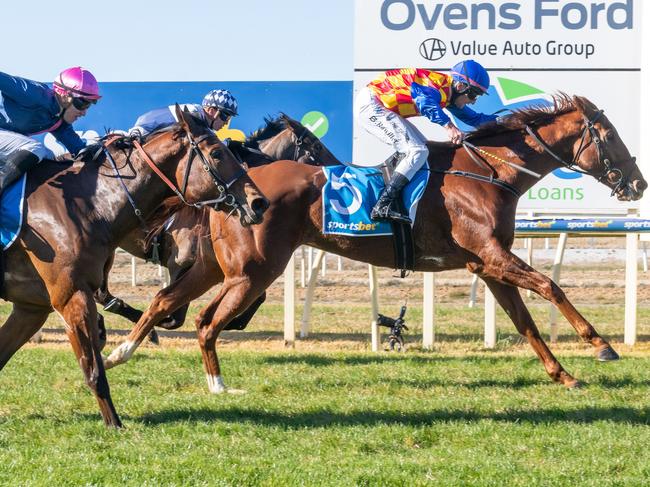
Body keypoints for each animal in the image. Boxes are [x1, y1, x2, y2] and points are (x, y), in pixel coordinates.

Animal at [0, 107, 266, 428]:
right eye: (216, 153)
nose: (259, 203)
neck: (89, 205)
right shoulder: (71, 297)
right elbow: (94, 369)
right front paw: (114, 424)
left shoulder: (32, 307)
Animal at [95, 115, 344, 336]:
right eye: (317, 146)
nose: (340, 169)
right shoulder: (181, 261)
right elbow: (173, 315)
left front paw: (232, 322)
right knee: (102, 293)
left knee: (101, 293)